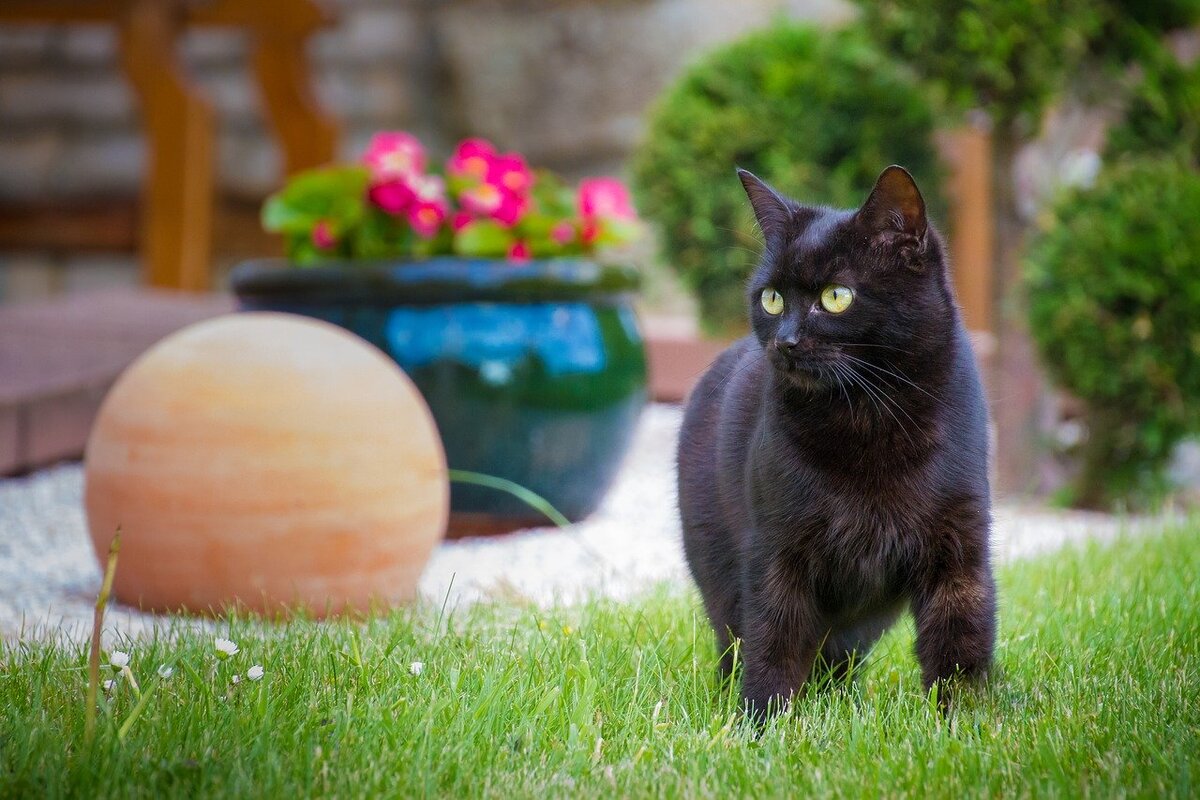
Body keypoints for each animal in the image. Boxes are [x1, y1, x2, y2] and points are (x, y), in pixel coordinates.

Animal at [681, 165, 998, 714]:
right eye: (771, 298)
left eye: (835, 296)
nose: (784, 341)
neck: (867, 420)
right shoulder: (776, 547)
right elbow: (774, 639)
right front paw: (763, 721)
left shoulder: (959, 542)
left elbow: (960, 639)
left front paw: (962, 718)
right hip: (720, 578)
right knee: (738, 640)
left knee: (838, 656)